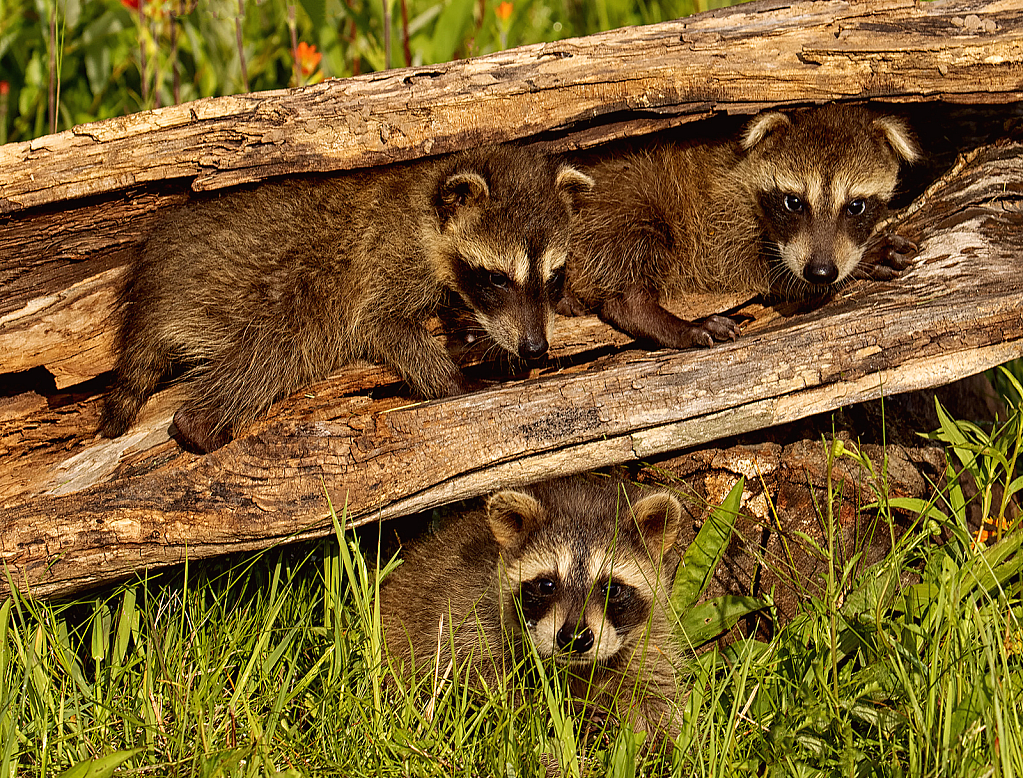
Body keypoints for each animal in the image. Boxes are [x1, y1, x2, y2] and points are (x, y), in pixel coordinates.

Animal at [99, 145, 597, 451]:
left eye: (553, 277)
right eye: (496, 278)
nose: (534, 348)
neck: (428, 213)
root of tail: (150, 287)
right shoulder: (384, 258)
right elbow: (382, 325)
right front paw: (454, 381)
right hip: (241, 284)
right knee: (281, 344)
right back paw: (200, 422)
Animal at [380, 476, 683, 744]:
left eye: (611, 588)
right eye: (547, 584)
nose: (574, 639)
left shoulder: (648, 640)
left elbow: (656, 695)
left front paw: (667, 743)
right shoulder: (467, 617)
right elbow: (491, 690)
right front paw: (569, 713)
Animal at [564, 103, 924, 349]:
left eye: (855, 206)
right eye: (793, 202)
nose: (820, 272)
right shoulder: (716, 217)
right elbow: (745, 266)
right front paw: (863, 261)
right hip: (623, 201)